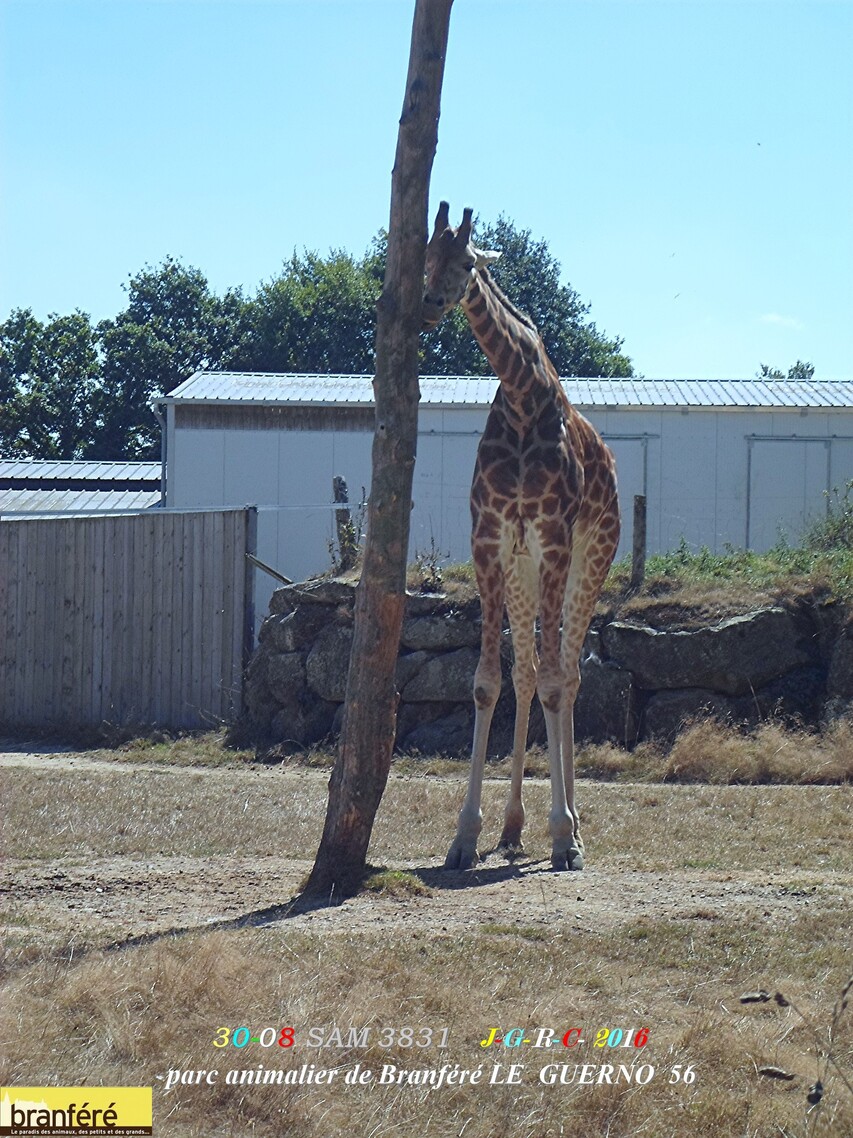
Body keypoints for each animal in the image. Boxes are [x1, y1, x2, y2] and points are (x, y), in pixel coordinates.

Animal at [425, 202, 623, 869]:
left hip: (590, 559)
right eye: (423, 256)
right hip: (523, 571)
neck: (517, 395)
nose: (428, 304)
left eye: (466, 262)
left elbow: (561, 684)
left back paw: (575, 827)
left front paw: (563, 835)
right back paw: (514, 827)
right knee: (530, 673)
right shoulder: (489, 543)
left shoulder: (556, 540)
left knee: (570, 673)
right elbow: (489, 684)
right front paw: (466, 834)